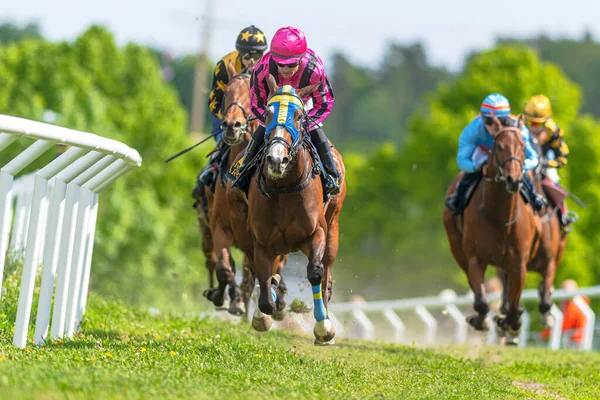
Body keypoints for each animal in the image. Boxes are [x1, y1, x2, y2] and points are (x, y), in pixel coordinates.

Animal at [236, 78, 344, 344]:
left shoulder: (317, 233)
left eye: (298, 116)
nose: (277, 159)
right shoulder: (262, 242)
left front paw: (323, 327)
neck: (284, 187)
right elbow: (264, 290)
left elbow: (315, 273)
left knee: (326, 275)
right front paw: (263, 313)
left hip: (332, 229)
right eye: (267, 112)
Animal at [440, 115, 544, 344]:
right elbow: (481, 301)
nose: (513, 180)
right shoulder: (475, 257)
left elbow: (514, 306)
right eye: (499, 147)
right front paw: (482, 320)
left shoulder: (518, 263)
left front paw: (510, 324)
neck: (501, 218)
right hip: (456, 246)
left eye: (523, 146)